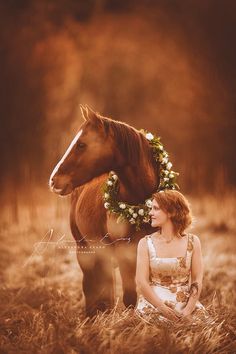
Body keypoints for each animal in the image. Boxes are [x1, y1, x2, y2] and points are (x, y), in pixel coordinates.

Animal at [49, 104, 160, 316]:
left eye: (81, 144)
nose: (53, 180)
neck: (139, 205)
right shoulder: (125, 253)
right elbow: (129, 297)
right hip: (84, 249)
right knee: (91, 286)